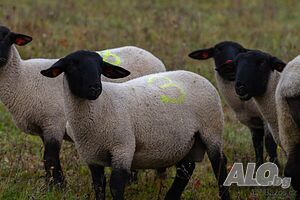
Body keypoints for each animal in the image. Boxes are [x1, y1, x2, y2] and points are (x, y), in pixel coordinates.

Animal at [0, 25, 166, 187]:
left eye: (8, 39)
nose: (0, 58)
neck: (22, 78)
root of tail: (155, 59)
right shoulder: (43, 128)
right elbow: (47, 158)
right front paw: (51, 183)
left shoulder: (53, 123)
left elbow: (50, 157)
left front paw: (58, 186)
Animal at [41, 50, 231, 200]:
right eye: (72, 67)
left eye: (100, 68)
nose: (95, 88)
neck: (101, 106)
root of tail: (197, 76)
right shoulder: (92, 156)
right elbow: (99, 186)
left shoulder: (123, 148)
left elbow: (116, 186)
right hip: (187, 141)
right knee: (185, 169)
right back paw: (170, 197)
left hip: (212, 129)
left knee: (219, 164)